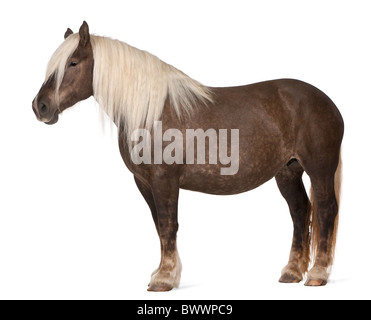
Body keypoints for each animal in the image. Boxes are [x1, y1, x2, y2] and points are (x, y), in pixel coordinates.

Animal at [33, 21, 344, 292]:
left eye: (73, 62)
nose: (40, 106)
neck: (151, 112)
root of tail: (328, 102)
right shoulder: (144, 183)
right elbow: (159, 226)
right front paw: (164, 273)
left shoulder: (164, 180)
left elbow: (169, 225)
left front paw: (164, 279)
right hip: (288, 171)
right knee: (300, 211)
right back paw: (292, 272)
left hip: (319, 170)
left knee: (326, 210)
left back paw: (317, 274)